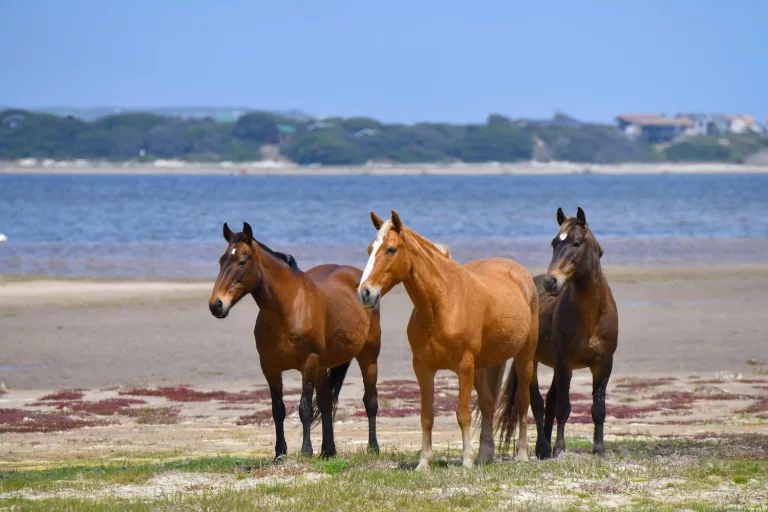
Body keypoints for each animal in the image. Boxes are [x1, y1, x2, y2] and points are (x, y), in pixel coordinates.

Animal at [208, 222, 382, 462]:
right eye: (221, 261)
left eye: (242, 261)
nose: (216, 305)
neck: (288, 310)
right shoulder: (270, 368)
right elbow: (278, 410)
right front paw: (280, 454)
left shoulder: (308, 363)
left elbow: (304, 408)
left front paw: (306, 451)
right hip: (323, 366)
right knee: (326, 403)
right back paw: (328, 451)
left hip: (368, 356)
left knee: (370, 401)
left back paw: (373, 448)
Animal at [356, 210, 536, 470]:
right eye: (370, 249)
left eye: (391, 249)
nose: (365, 293)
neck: (442, 304)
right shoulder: (423, 368)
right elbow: (427, 416)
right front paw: (424, 462)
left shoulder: (464, 366)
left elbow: (463, 414)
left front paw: (466, 461)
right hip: (484, 366)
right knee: (488, 403)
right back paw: (485, 456)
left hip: (524, 358)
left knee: (522, 401)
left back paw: (521, 454)